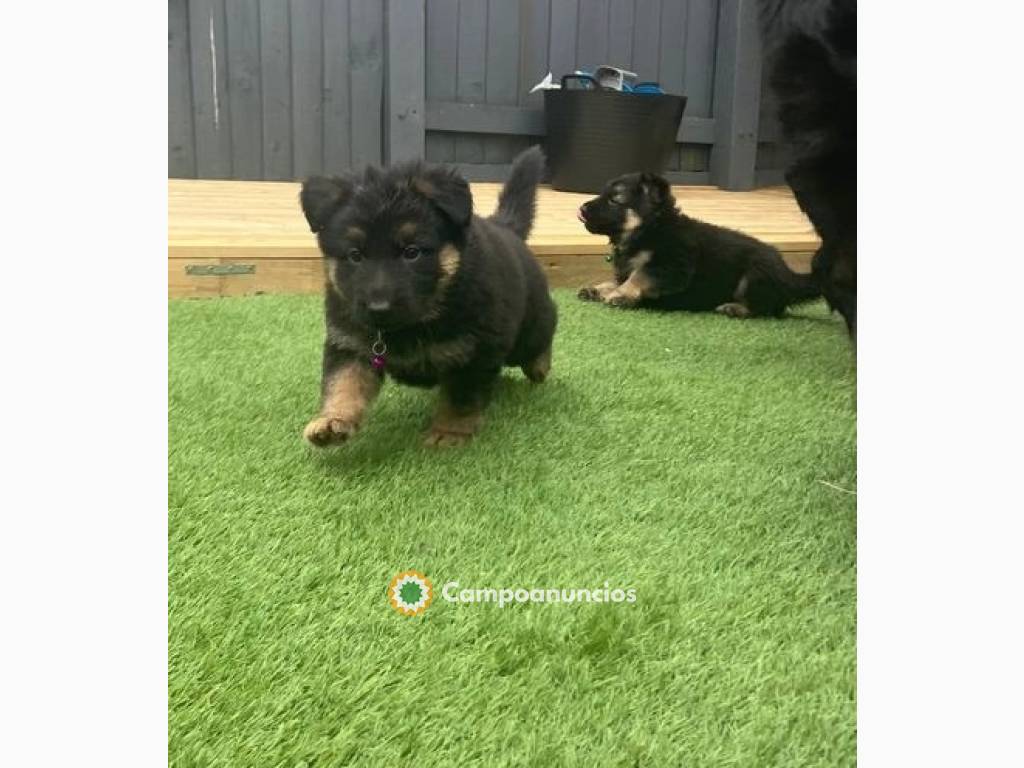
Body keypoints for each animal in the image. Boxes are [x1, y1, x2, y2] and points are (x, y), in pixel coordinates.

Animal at [581, 173, 819, 317]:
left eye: (615, 199)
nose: (581, 208)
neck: (651, 228)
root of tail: (789, 276)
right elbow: (620, 278)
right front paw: (598, 289)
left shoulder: (671, 266)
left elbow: (639, 275)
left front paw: (619, 294)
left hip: (754, 275)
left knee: (765, 309)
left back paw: (734, 308)